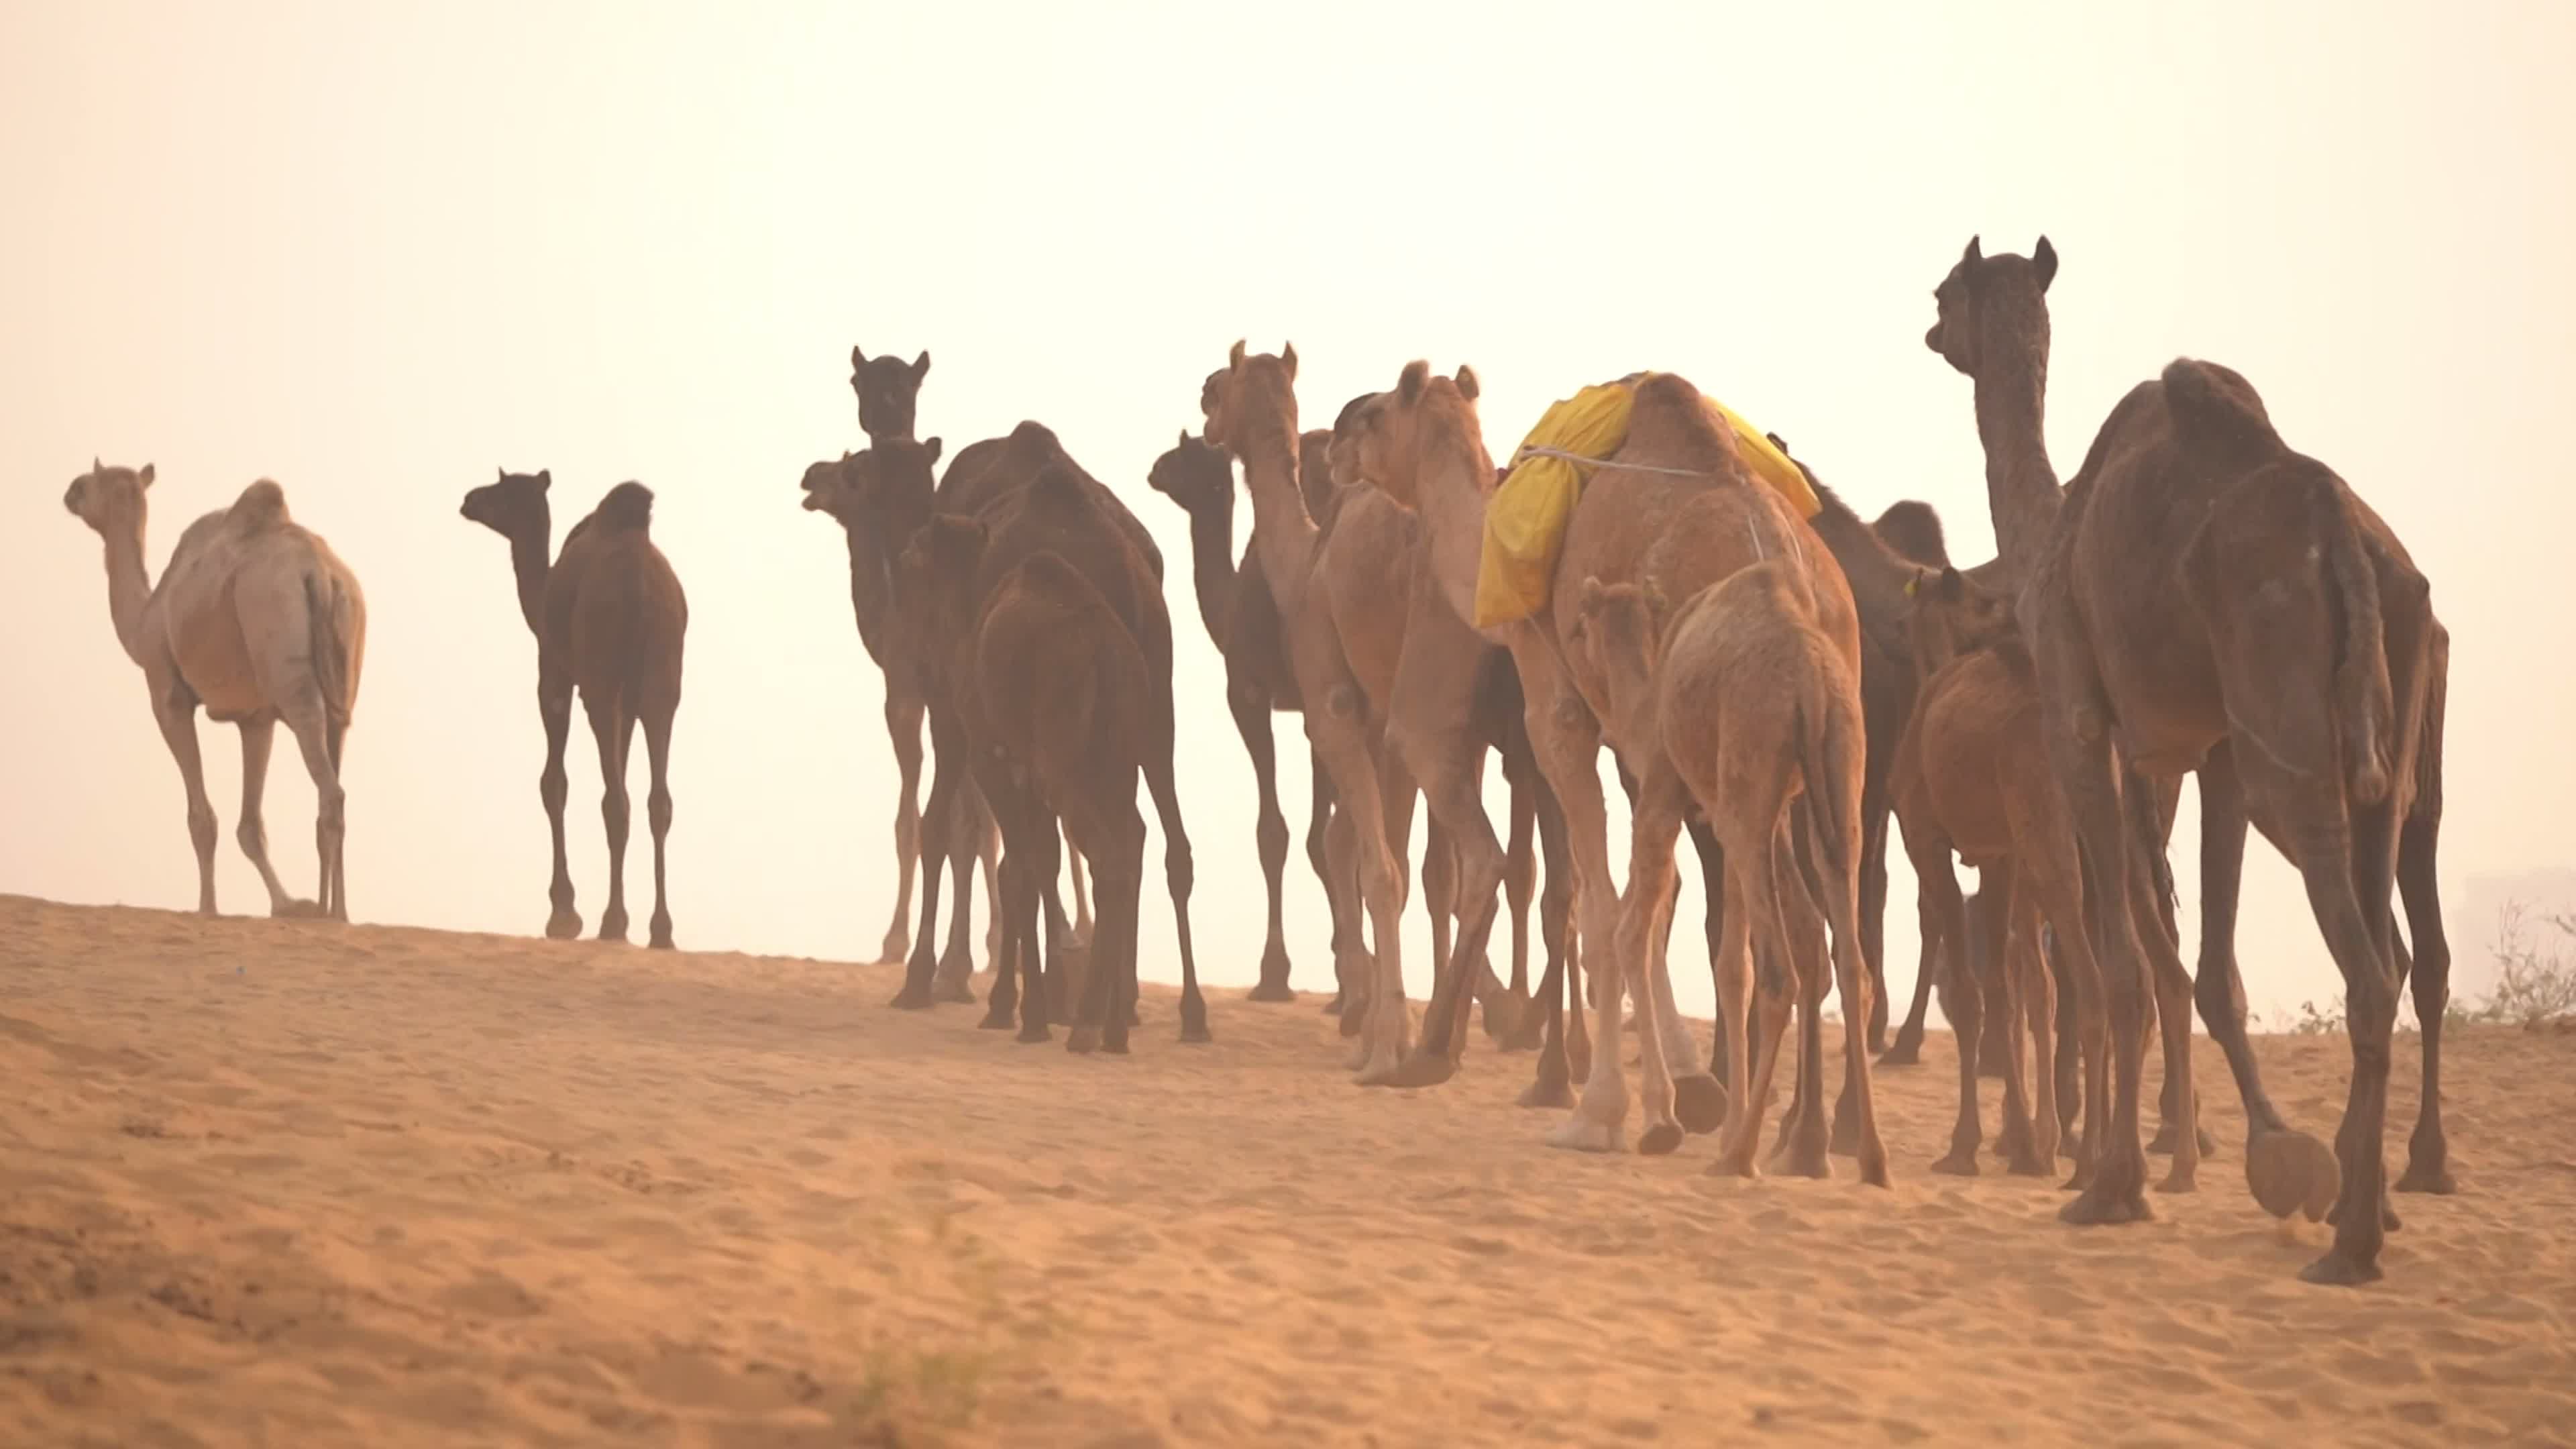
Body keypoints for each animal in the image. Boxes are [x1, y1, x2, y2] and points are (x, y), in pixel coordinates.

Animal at [65, 463, 365, 920]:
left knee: (330, 789)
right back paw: (330, 909)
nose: (70, 490)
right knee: (332, 772)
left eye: (93, 480)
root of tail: (320, 573)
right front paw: (289, 905)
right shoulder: (256, 717)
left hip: (285, 657)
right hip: (343, 678)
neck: (147, 618)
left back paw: (337, 914)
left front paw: (208, 908)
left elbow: (202, 819)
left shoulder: (167, 694)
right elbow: (251, 827)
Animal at [460, 471, 687, 948]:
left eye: (503, 488)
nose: (469, 499)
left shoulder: (555, 673)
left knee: (615, 801)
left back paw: (612, 923)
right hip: (663, 681)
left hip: (600, 677)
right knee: (657, 801)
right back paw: (660, 930)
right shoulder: (629, 702)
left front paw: (563, 914)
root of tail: (642, 584)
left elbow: (553, 782)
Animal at [1574, 564, 1891, 1185]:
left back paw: (1741, 1156)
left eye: (1580, 630)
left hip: (1751, 758)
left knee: (1779, 971)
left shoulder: (1666, 786)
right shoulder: (1753, 814)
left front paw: (1664, 1120)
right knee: (1849, 958)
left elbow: (1633, 932)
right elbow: (1744, 959)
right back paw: (1865, 1158)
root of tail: (1810, 680)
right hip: (1840, 771)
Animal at [1928, 236, 2445, 1283]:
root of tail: (2346, 538)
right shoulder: (2197, 755)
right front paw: (2249, 1159)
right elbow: (2198, 963)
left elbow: (2123, 967)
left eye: (1946, 292)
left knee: (2371, 971)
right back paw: (2366, 1206)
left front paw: (2112, 1188)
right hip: (2375, 745)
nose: (1927, 327)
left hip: (2289, 736)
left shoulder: (2083, 723)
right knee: (2387, 945)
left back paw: (2352, 1243)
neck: (2047, 540)